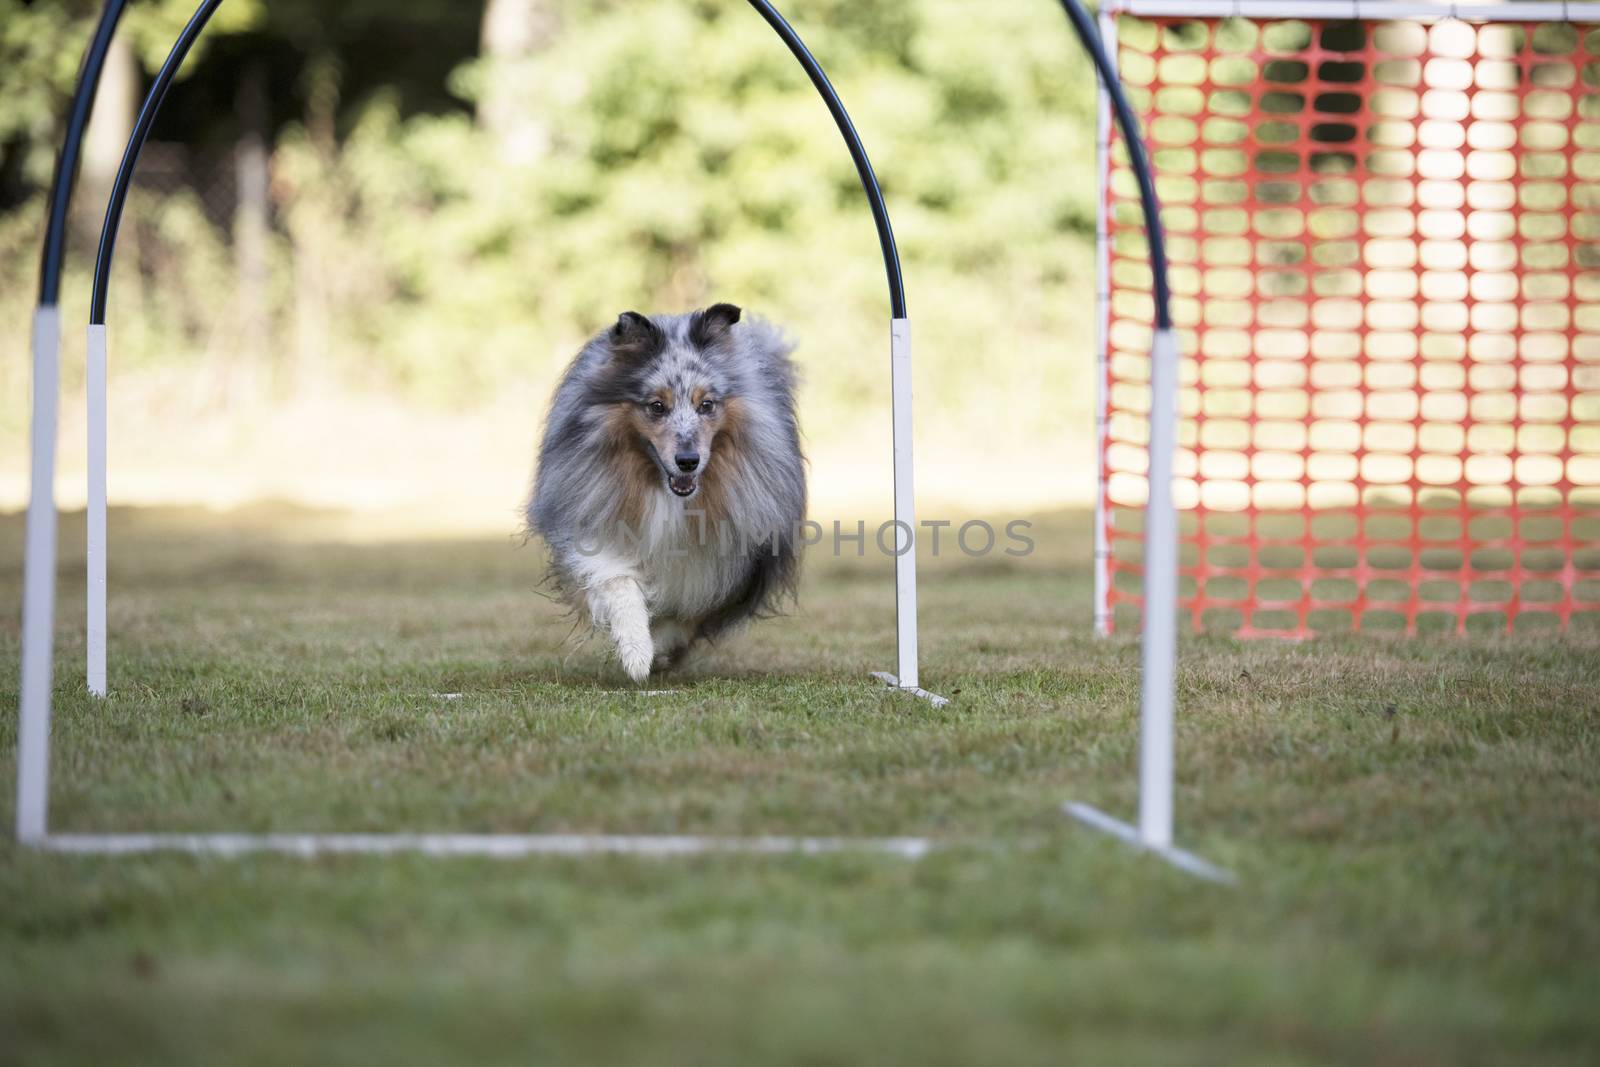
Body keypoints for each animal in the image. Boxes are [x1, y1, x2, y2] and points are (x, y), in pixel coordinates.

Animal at [528, 303, 806, 681]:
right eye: (657, 406)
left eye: (707, 405)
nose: (687, 461)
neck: (669, 497)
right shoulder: (595, 527)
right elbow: (618, 583)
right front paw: (636, 653)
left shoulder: (722, 570)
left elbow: (683, 621)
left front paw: (657, 650)